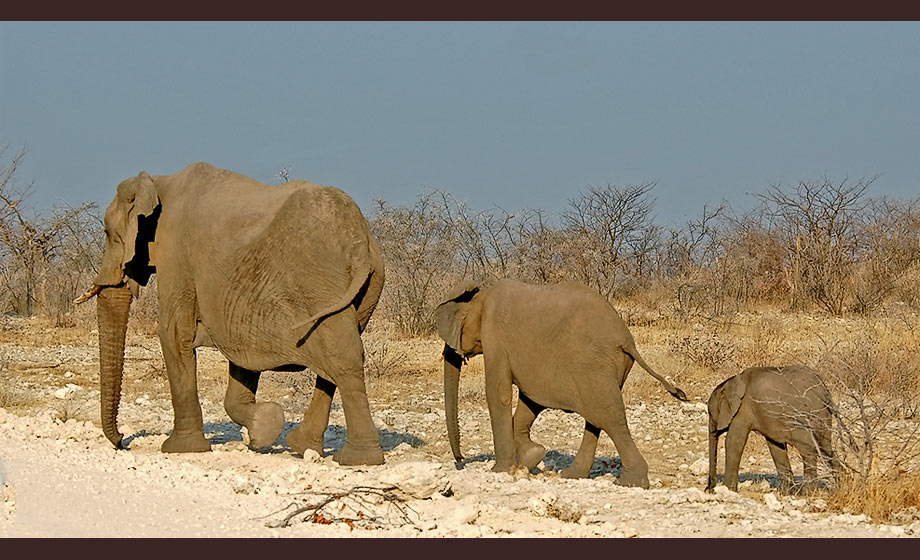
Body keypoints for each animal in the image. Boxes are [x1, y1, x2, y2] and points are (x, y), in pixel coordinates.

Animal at [73, 161, 384, 464]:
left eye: (107, 233)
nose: (122, 441)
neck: (160, 181)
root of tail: (357, 238)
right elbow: (242, 351)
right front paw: (264, 429)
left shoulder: (175, 253)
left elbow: (173, 334)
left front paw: (180, 449)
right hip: (365, 285)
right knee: (339, 355)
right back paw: (307, 446)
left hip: (317, 282)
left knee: (341, 359)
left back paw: (358, 458)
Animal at [434, 278, 688, 486]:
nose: (460, 459)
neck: (482, 294)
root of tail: (627, 340)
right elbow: (530, 400)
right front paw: (532, 457)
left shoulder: (494, 336)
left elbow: (499, 393)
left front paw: (500, 470)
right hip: (609, 366)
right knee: (597, 418)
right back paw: (572, 475)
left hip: (591, 363)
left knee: (608, 418)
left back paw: (631, 482)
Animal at [708, 366, 844, 492]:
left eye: (710, 413)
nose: (709, 489)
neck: (731, 381)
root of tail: (824, 391)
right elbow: (776, 447)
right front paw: (789, 492)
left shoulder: (742, 410)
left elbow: (734, 442)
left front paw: (726, 489)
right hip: (823, 415)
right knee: (825, 447)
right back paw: (840, 486)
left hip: (803, 416)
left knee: (808, 449)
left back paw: (808, 492)